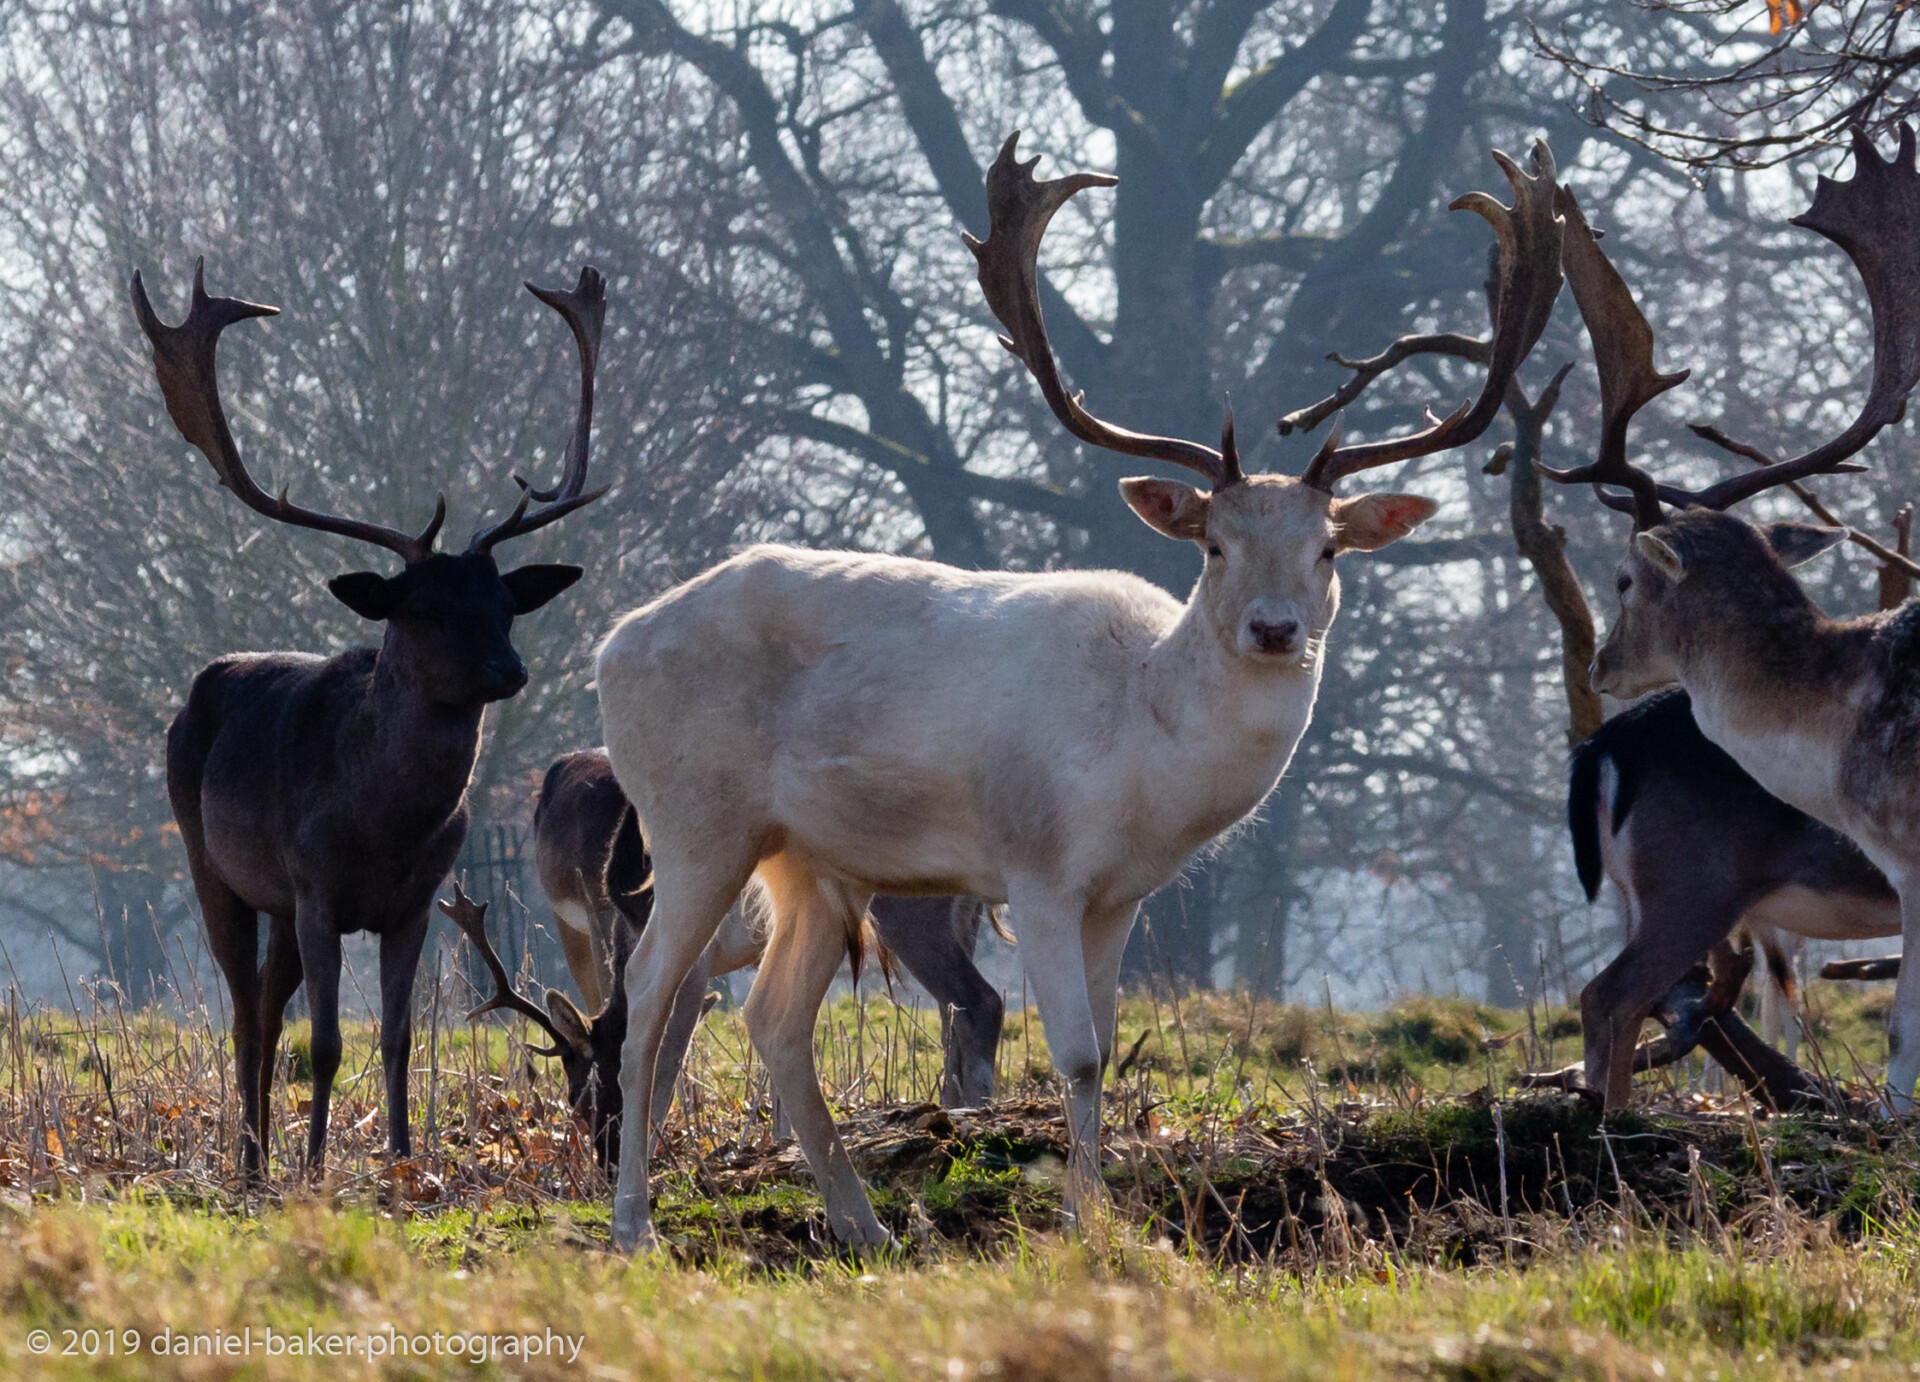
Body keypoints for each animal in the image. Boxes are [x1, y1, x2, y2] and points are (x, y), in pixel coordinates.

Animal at [135, 260, 607, 1178]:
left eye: (506, 604)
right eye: (421, 608)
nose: (510, 669)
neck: (384, 824)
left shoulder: (415, 901)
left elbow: (395, 1036)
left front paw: (402, 1159)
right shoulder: (316, 887)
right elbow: (324, 1044)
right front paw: (318, 1166)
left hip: (280, 905)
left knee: (266, 1006)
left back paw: (262, 1152)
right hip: (212, 862)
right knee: (245, 1008)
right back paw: (253, 1161)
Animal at [525, 749, 1004, 1164]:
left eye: (587, 1091)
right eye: (572, 1098)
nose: (605, 1163)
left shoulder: (696, 963)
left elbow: (668, 1057)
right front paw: (780, 1142)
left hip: (909, 913)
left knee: (982, 1001)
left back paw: (976, 1113)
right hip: (963, 918)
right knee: (953, 1010)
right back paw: (951, 1106)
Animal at [591, 132, 1567, 1251]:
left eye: (1327, 548)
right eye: (1214, 544)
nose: (1274, 629)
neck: (1145, 756)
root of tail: (609, 647)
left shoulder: (1123, 896)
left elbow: (1103, 1043)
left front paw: (1097, 1219)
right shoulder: (1037, 867)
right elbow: (1079, 1054)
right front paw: (1072, 1223)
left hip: (812, 859)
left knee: (772, 1017)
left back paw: (866, 1228)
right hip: (693, 819)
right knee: (646, 994)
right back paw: (634, 1225)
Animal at [1534, 125, 1920, 1112]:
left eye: (1624, 580)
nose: (1600, 666)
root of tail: (1599, 748)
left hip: (1672, 889)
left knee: (1633, 996)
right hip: (1690, 880)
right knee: (1616, 994)